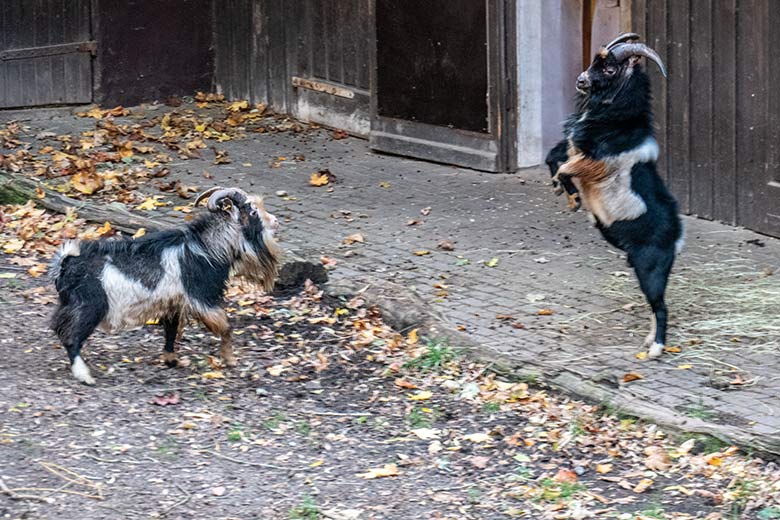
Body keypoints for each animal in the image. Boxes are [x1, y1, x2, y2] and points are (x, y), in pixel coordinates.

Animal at [49, 189, 280, 384]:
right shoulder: (203, 299)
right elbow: (226, 327)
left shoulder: (173, 303)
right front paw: (229, 360)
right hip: (91, 307)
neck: (207, 248)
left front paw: (171, 360)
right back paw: (84, 375)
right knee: (71, 337)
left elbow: (171, 330)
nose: (276, 221)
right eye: (253, 211)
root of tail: (67, 263)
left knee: (60, 328)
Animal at [548, 33, 684, 358]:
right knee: (654, 306)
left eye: (610, 69)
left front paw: (572, 197)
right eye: (595, 62)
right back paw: (647, 341)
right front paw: (566, 195)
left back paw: (656, 348)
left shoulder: (595, 162)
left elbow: (565, 168)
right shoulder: (574, 147)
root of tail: (676, 236)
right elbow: (554, 158)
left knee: (660, 307)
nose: (581, 80)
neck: (619, 120)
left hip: (650, 268)